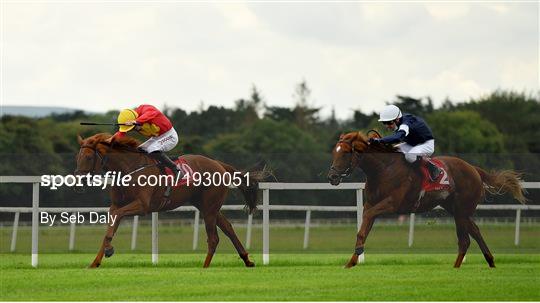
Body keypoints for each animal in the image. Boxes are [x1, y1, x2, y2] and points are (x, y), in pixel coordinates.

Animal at [75, 133, 262, 268]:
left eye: (89, 157)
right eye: (78, 157)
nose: (77, 184)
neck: (129, 168)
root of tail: (219, 164)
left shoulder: (142, 206)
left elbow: (117, 218)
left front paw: (108, 250)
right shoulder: (115, 206)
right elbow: (111, 226)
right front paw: (95, 262)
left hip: (209, 207)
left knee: (214, 238)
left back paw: (205, 267)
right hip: (207, 206)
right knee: (228, 228)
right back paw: (247, 260)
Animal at [326, 132, 524, 270]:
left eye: (345, 153)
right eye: (334, 152)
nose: (332, 177)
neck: (383, 170)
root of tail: (474, 169)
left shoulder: (391, 204)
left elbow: (366, 217)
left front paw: (357, 254)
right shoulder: (371, 203)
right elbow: (363, 230)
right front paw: (351, 261)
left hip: (462, 209)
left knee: (465, 238)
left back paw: (460, 266)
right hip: (456, 209)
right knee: (473, 232)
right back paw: (486, 262)